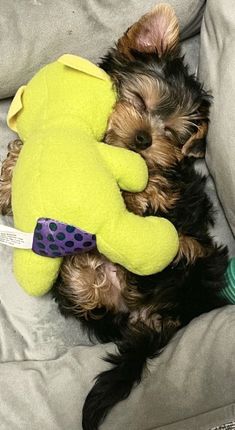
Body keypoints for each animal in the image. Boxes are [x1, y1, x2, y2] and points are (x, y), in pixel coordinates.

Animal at [0, 4, 228, 430]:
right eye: (138, 99)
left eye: (172, 133)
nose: (143, 140)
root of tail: (154, 316)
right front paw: (12, 178)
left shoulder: (171, 187)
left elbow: (152, 187)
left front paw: (131, 194)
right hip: (88, 294)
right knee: (87, 290)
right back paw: (83, 263)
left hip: (196, 259)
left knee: (177, 249)